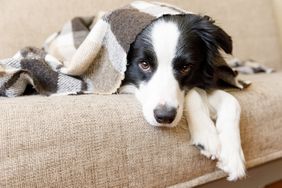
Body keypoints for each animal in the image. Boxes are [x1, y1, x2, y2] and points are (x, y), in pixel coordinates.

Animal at [120, 13, 246, 181]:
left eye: (185, 67)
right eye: (144, 64)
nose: (164, 117)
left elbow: (233, 102)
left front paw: (233, 155)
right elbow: (194, 94)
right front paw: (206, 134)